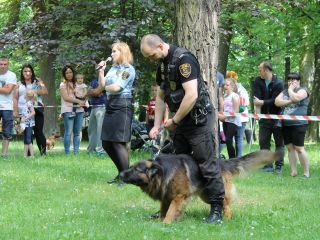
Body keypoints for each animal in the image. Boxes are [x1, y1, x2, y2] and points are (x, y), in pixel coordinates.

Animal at [119, 151, 280, 224]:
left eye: (136, 169)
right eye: (131, 167)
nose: (120, 174)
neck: (163, 173)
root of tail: (222, 162)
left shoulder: (178, 197)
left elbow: (170, 211)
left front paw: (166, 223)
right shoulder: (166, 197)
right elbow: (164, 210)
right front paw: (161, 220)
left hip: (217, 192)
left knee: (226, 205)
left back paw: (225, 219)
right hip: (206, 195)